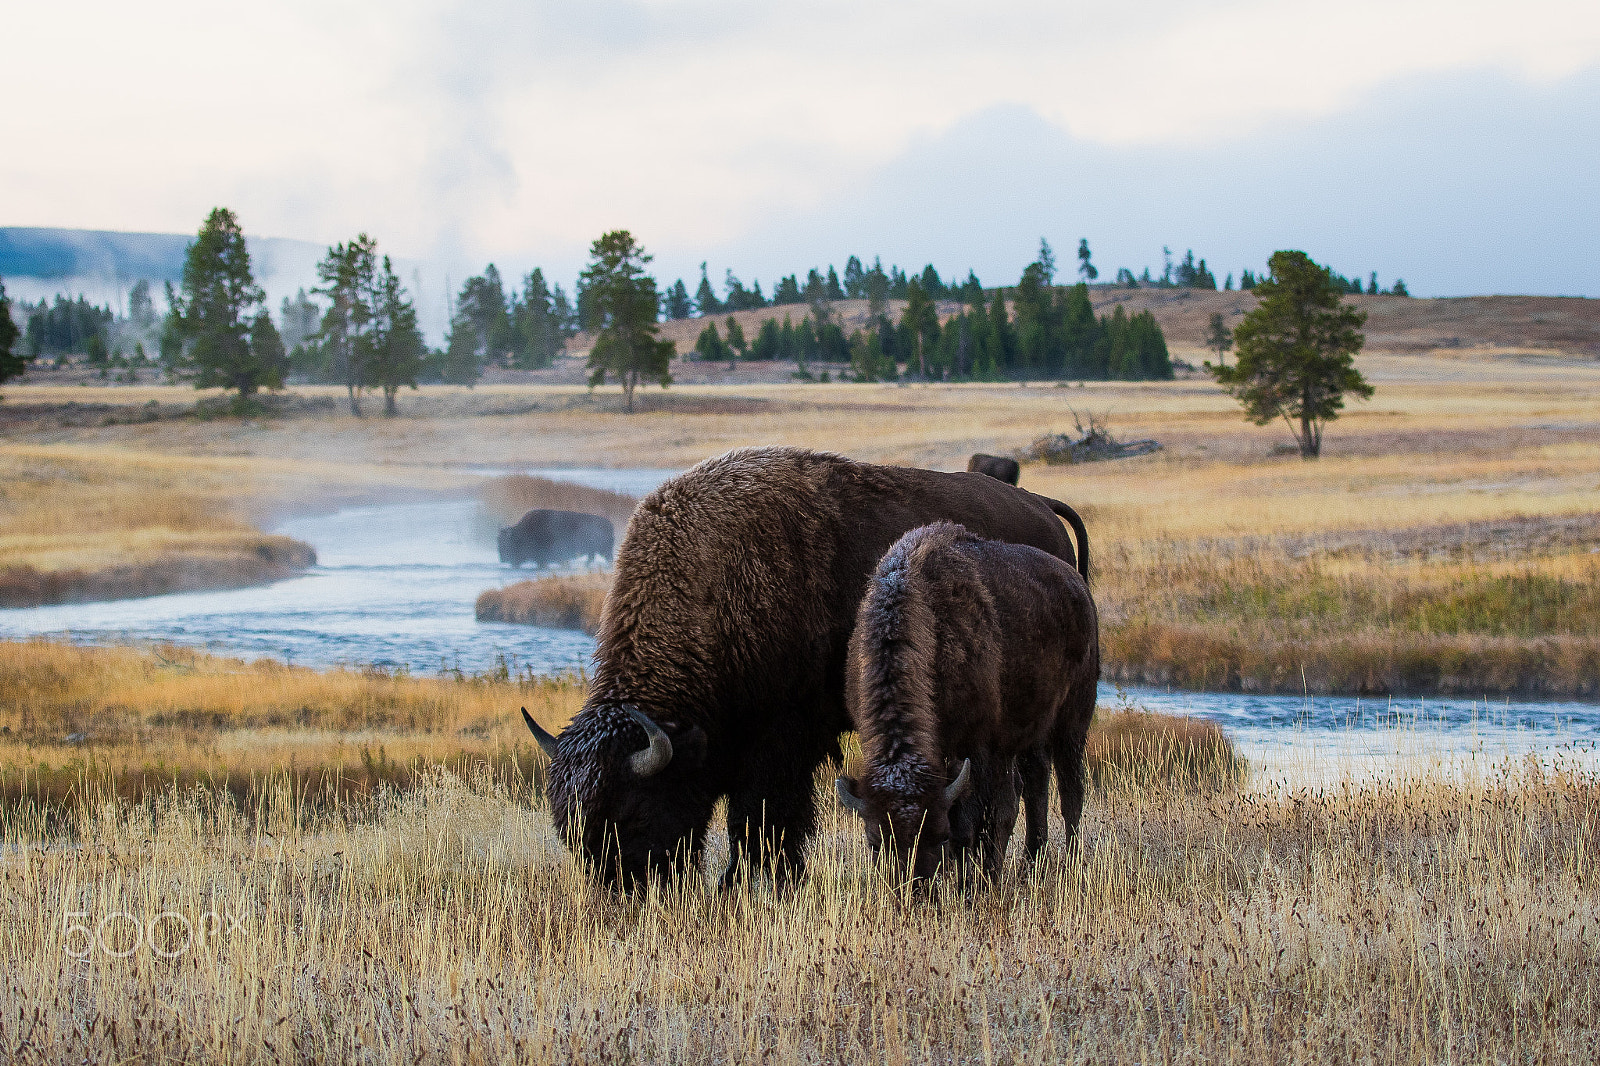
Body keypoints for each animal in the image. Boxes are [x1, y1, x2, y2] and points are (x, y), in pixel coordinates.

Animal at [838, 518, 1100, 877]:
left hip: (1072, 722)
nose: (914, 885)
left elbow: (972, 817)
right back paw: (1030, 862)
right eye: (876, 842)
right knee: (1034, 784)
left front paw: (970, 877)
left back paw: (1065, 862)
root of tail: (1079, 587)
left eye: (939, 834)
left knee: (1068, 790)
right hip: (1028, 735)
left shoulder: (975, 747)